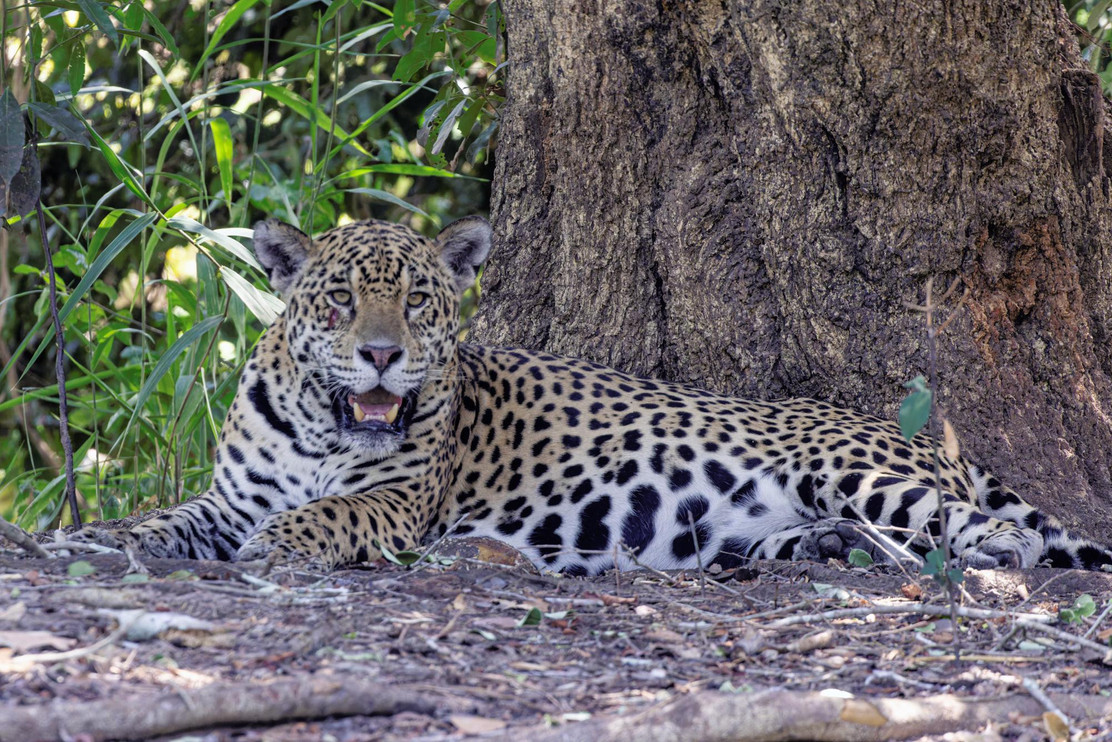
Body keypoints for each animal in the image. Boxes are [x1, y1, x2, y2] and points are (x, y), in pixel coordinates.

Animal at [80, 216, 1112, 575]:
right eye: (339, 300)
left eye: (417, 302)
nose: (380, 355)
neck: (318, 430)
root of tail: (939, 442)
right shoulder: (225, 497)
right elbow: (168, 519)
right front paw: (98, 539)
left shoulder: (402, 501)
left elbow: (332, 513)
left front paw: (283, 542)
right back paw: (811, 549)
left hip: (853, 469)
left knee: (988, 529)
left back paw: (992, 550)